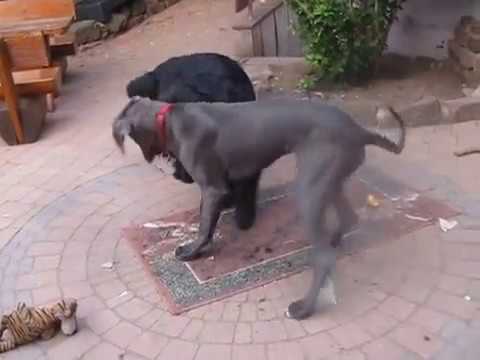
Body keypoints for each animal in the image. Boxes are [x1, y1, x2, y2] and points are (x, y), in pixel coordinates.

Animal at [112, 95, 404, 318]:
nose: (171, 171)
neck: (170, 119)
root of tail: (359, 130)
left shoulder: (213, 188)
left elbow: (205, 225)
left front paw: (193, 251)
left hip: (309, 187)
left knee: (323, 258)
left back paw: (304, 308)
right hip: (327, 180)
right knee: (348, 218)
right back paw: (335, 240)